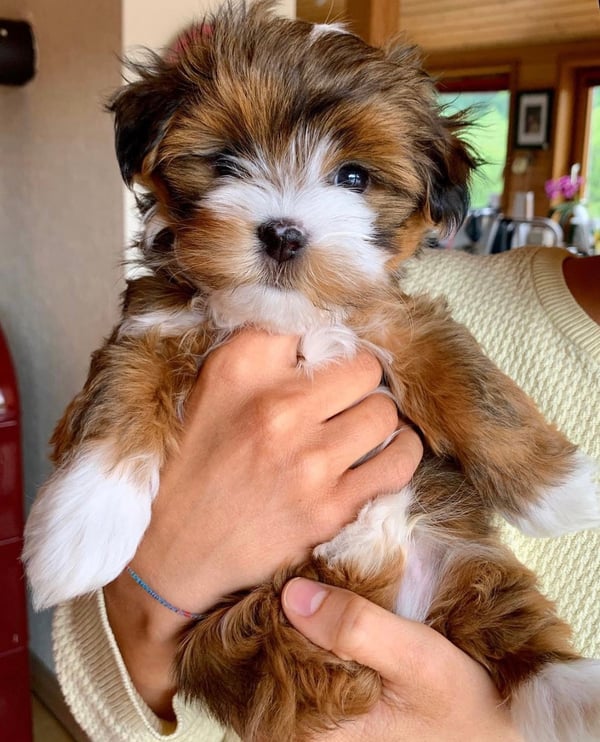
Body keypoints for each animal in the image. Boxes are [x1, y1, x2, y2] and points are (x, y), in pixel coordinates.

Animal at [23, 1, 600, 742]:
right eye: (226, 160)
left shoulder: (393, 322)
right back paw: (364, 545)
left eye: (353, 177)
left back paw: (573, 690)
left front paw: (563, 491)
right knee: (288, 648)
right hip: (238, 639)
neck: (286, 318)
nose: (283, 233)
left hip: (461, 552)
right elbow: (120, 394)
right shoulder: (153, 328)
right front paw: (81, 529)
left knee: (510, 632)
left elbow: (467, 383)